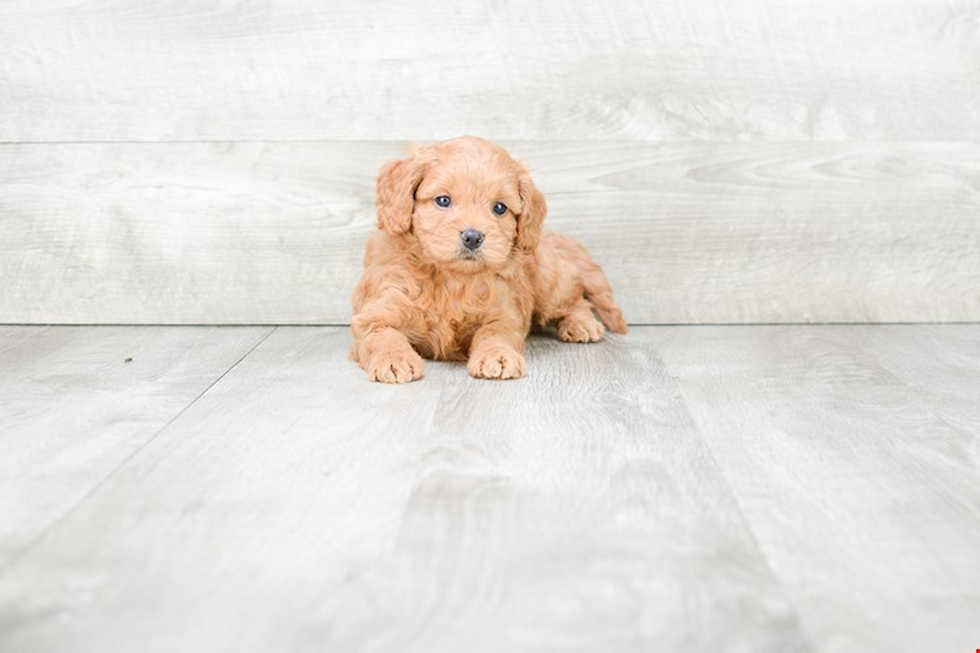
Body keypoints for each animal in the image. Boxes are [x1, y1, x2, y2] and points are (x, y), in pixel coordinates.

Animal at [352, 136, 628, 382]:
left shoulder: (505, 311)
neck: (453, 280)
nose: (473, 237)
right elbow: (382, 334)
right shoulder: (379, 308)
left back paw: (581, 324)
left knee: (575, 298)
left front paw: (498, 356)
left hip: (549, 283)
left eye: (499, 208)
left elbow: (494, 333)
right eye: (443, 200)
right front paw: (394, 359)